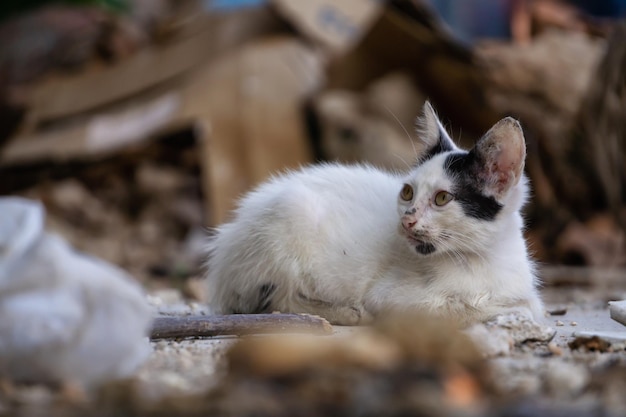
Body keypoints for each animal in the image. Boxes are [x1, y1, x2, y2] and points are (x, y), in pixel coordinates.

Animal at [205, 101, 540, 324]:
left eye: (442, 198)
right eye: (408, 192)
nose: (407, 219)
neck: (478, 259)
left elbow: (529, 302)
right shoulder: (392, 298)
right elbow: (459, 308)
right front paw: (500, 307)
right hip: (289, 216)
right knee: (277, 300)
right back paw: (347, 313)